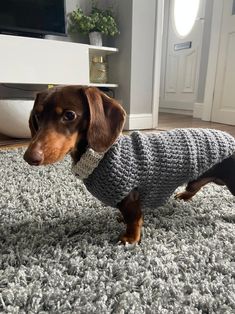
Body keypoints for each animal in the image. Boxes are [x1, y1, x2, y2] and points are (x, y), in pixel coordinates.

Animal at [23, 86, 235, 245]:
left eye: (69, 115)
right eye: (37, 116)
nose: (29, 157)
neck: (103, 156)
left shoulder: (130, 194)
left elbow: (134, 219)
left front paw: (130, 239)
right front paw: (121, 220)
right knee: (195, 185)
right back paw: (184, 195)